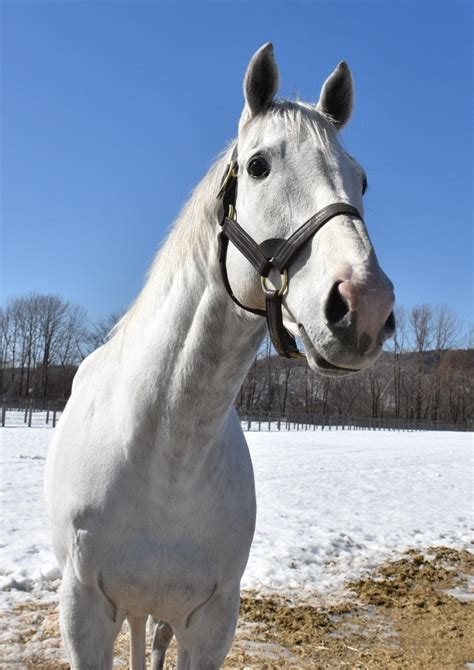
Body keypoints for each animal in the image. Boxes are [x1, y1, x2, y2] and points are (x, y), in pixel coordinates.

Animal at [44, 44, 394, 668]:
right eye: (258, 165)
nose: (365, 306)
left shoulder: (210, 620)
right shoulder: (83, 613)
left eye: (362, 180)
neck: (164, 452)